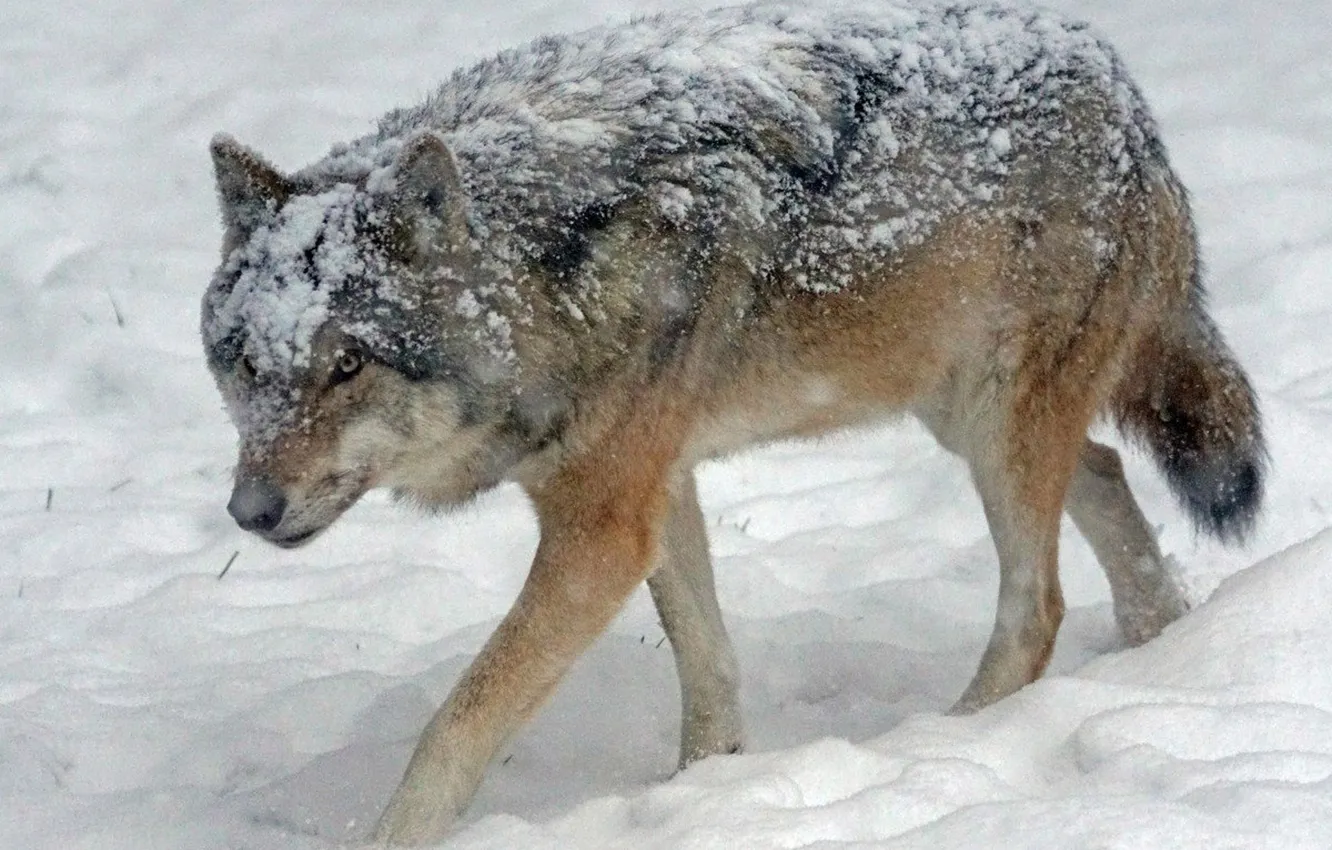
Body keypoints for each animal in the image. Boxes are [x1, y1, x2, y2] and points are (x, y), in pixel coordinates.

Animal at [202, 0, 1264, 843]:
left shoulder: (600, 529)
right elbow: (707, 662)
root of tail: (1116, 78)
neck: (547, 275)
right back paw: (1161, 647)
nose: (250, 513)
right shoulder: (652, 493)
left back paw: (944, 741)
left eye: (348, 366)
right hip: (963, 415)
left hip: (998, 428)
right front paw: (703, 791)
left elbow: (455, 724)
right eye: (248, 365)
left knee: (1036, 606)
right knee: (1107, 475)